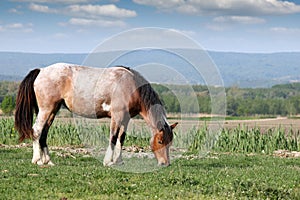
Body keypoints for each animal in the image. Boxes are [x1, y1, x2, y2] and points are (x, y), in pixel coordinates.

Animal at [14, 63, 178, 166]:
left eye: (170, 142)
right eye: (160, 141)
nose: (165, 163)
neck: (130, 86)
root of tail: (41, 71)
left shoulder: (125, 119)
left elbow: (121, 138)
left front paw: (118, 161)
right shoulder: (116, 117)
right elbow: (113, 137)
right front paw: (108, 161)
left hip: (52, 111)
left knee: (43, 134)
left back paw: (48, 161)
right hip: (46, 110)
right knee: (36, 131)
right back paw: (37, 160)